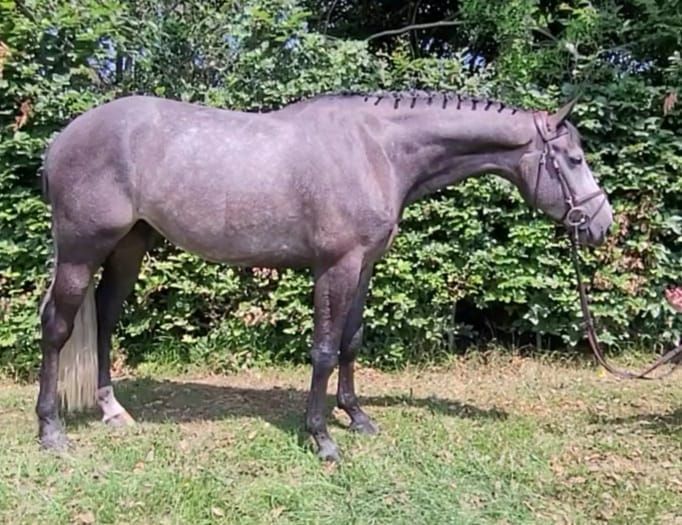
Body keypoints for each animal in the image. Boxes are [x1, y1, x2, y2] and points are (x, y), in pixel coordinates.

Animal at [37, 91, 613, 461]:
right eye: (574, 159)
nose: (601, 224)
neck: (377, 149)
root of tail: (62, 139)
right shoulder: (335, 267)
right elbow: (324, 349)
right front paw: (321, 438)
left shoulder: (364, 265)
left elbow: (352, 341)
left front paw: (356, 417)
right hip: (81, 250)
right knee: (57, 327)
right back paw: (51, 432)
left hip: (128, 246)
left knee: (105, 317)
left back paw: (113, 411)